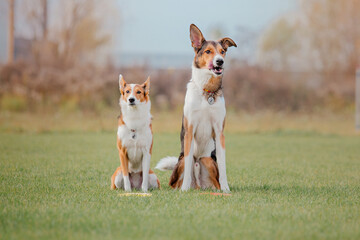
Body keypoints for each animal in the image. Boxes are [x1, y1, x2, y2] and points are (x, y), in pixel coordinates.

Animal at [155, 24, 236, 192]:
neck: (207, 92)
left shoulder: (220, 132)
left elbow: (223, 165)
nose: (220, 61)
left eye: (222, 51)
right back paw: (182, 187)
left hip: (208, 160)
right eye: (208, 51)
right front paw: (184, 189)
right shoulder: (189, 130)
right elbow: (187, 169)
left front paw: (226, 189)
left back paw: (217, 188)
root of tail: (198, 185)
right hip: (183, 160)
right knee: (181, 172)